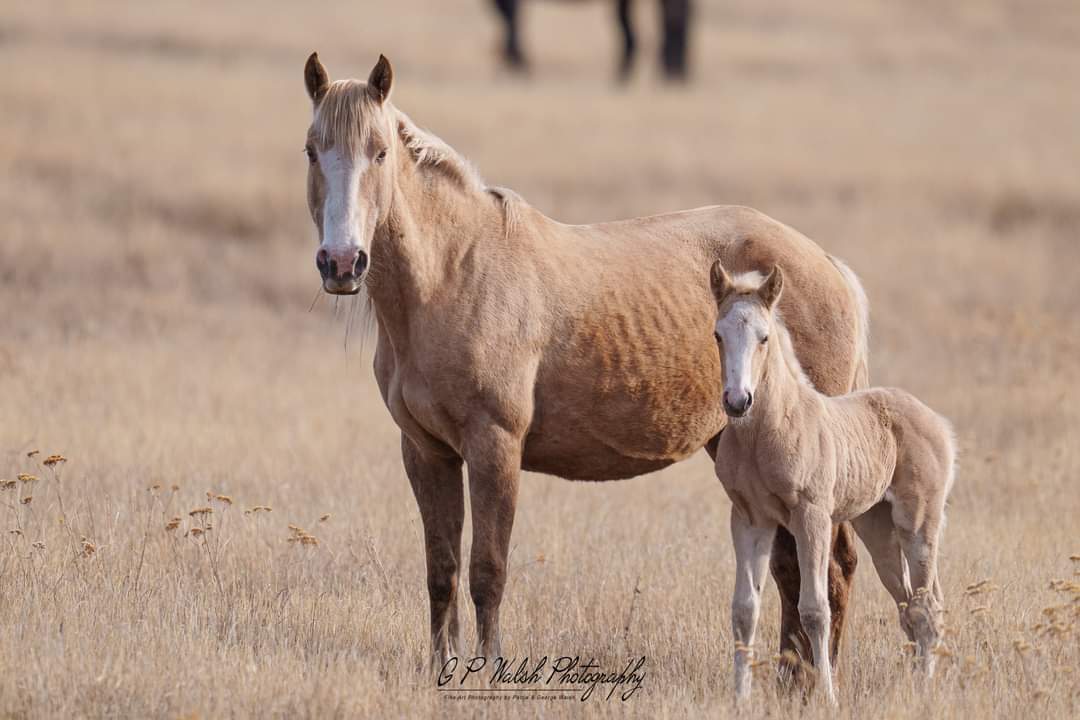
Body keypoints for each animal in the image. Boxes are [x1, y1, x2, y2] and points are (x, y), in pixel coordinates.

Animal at [302, 53, 868, 677]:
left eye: (379, 152)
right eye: (311, 150)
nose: (342, 262)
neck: (453, 274)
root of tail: (831, 268)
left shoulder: (495, 447)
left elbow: (487, 573)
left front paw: (489, 668)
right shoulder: (427, 453)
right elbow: (442, 572)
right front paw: (441, 671)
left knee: (832, 570)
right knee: (793, 570)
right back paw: (793, 679)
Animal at [712, 260, 959, 703]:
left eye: (764, 337)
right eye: (718, 335)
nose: (738, 401)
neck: (766, 431)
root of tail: (939, 424)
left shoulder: (811, 515)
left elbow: (815, 608)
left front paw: (826, 696)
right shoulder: (749, 518)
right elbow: (744, 610)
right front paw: (739, 698)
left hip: (918, 525)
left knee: (928, 606)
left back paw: (924, 690)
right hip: (877, 530)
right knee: (910, 607)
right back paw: (916, 683)